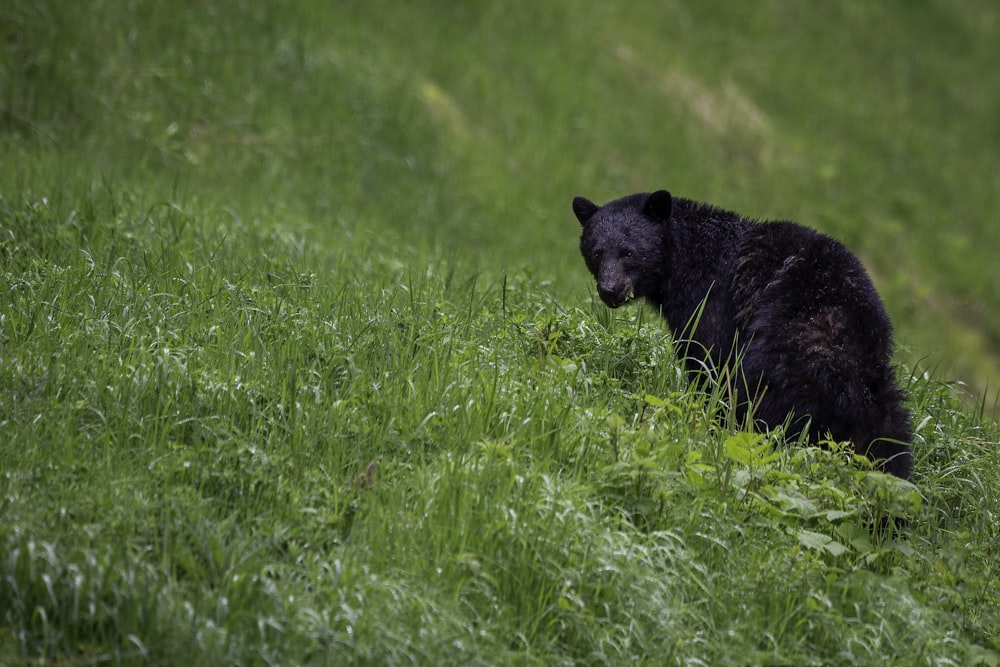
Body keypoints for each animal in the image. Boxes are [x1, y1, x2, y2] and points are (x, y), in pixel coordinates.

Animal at [572, 190, 916, 478]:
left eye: (629, 252)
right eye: (597, 252)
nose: (610, 290)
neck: (685, 261)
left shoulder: (711, 303)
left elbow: (707, 361)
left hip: (782, 355)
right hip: (882, 396)